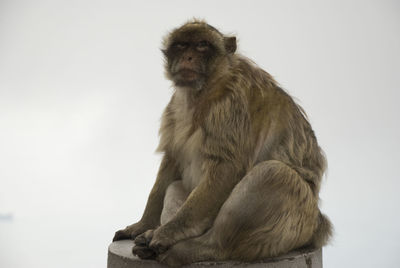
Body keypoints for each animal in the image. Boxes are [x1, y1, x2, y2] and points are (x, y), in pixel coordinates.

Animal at [111, 18, 332, 266]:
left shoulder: (230, 106)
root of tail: (318, 229)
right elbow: (172, 161)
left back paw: (194, 248)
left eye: (202, 45)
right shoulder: (176, 106)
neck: (202, 92)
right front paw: (142, 226)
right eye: (181, 45)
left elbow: (227, 167)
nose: (188, 57)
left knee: (273, 173)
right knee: (176, 185)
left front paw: (167, 232)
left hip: (295, 226)